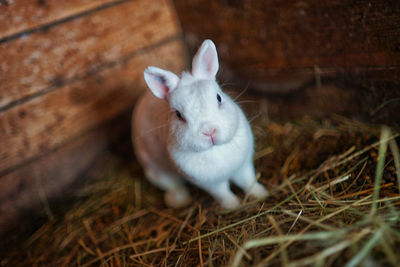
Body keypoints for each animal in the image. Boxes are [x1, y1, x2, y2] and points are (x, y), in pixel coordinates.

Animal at [132, 39, 268, 209]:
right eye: (178, 115)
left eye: (219, 98)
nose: (209, 131)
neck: (215, 150)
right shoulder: (211, 184)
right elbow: (224, 193)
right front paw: (233, 206)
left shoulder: (243, 166)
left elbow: (249, 182)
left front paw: (263, 195)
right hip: (157, 171)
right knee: (174, 185)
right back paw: (179, 200)